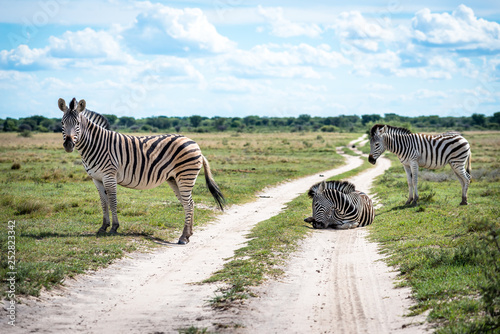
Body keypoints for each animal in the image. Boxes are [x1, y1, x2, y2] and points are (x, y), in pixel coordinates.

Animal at [58, 98, 225, 244]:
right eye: (62, 123)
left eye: (77, 123)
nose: (68, 145)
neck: (96, 144)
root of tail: (194, 143)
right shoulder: (96, 178)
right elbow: (104, 203)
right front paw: (103, 227)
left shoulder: (109, 176)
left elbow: (112, 201)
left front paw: (114, 228)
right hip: (174, 179)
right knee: (188, 202)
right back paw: (188, 234)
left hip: (186, 176)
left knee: (188, 204)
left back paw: (183, 237)